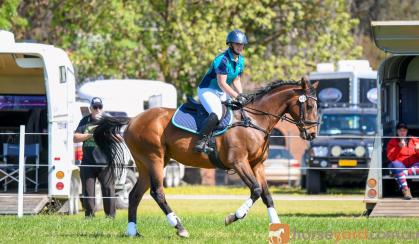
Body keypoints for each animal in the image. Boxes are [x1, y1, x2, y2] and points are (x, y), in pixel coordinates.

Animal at [94, 77, 318, 237]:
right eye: (309, 106)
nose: (312, 134)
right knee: (157, 193)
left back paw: (133, 231)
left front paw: (277, 227)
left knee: (134, 195)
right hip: (154, 159)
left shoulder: (257, 165)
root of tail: (133, 119)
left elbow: (266, 195)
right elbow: (255, 190)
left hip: (146, 164)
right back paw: (179, 227)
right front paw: (233, 217)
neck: (255, 120)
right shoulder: (239, 163)